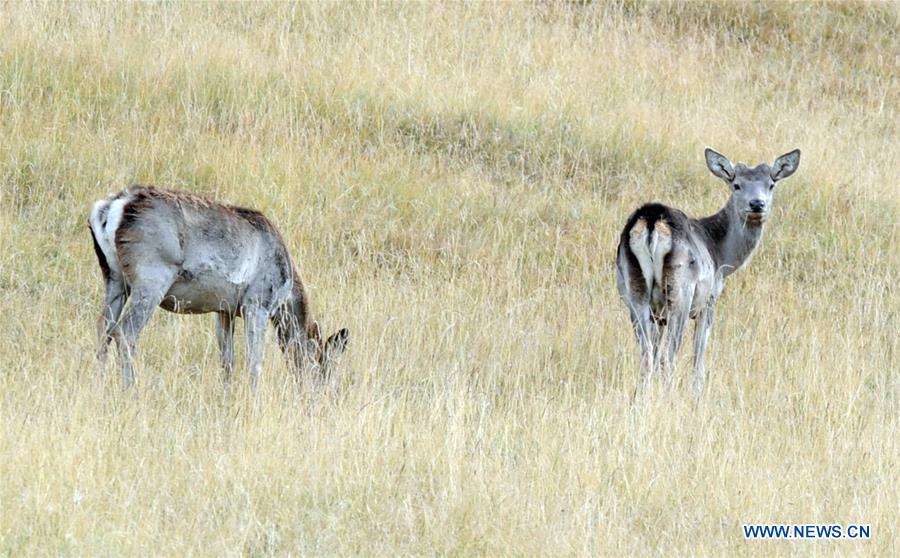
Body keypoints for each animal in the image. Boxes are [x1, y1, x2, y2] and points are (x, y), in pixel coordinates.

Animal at [89, 185, 349, 390]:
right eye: (324, 369)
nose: (325, 398)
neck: (285, 296)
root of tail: (111, 208)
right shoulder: (258, 302)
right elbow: (254, 361)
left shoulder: (224, 309)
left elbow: (227, 361)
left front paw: (227, 396)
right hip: (152, 275)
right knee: (125, 331)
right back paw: (130, 389)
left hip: (113, 276)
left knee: (104, 327)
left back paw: (99, 385)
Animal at [616, 147, 800, 398]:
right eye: (736, 185)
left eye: (771, 184)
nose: (756, 204)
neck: (722, 257)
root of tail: (651, 221)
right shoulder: (709, 300)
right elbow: (698, 358)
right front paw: (697, 394)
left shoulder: (658, 314)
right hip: (681, 292)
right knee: (668, 356)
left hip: (634, 291)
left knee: (647, 354)